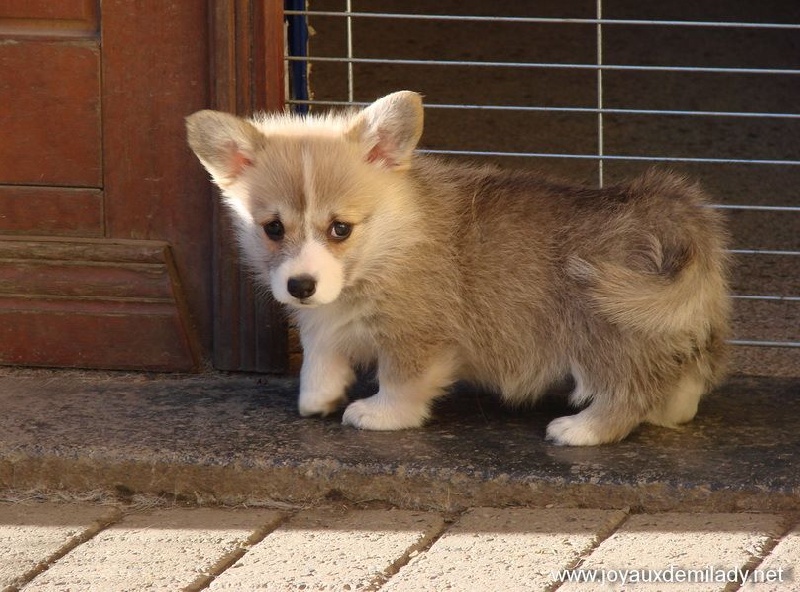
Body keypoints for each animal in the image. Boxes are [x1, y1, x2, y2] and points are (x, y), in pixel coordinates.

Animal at [186, 91, 732, 444]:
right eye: (273, 228)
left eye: (340, 228)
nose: (300, 286)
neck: (387, 245)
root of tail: (671, 213)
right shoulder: (325, 317)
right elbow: (320, 352)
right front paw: (317, 398)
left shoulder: (416, 335)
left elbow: (400, 379)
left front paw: (381, 414)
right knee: (685, 375)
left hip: (605, 328)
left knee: (629, 389)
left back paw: (580, 429)